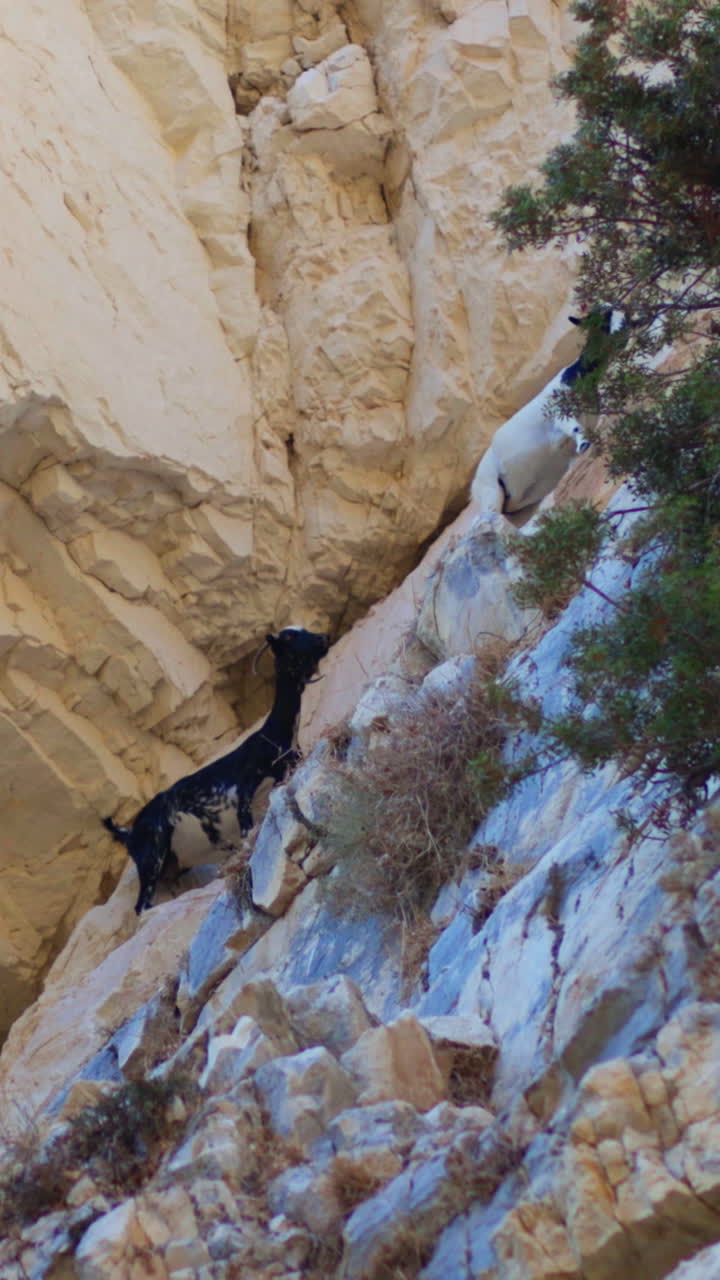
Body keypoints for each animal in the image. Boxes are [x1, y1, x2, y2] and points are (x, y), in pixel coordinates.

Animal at [103, 626, 330, 914]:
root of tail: (129, 833)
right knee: (142, 905)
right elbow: (247, 834)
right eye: (289, 637)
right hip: (151, 854)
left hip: (171, 863)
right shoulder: (244, 792)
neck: (273, 737)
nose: (323, 638)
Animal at [471, 307, 625, 515]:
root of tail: (474, 488)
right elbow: (576, 429)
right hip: (490, 490)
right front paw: (584, 445)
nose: (622, 330)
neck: (574, 375)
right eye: (601, 321)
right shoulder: (561, 414)